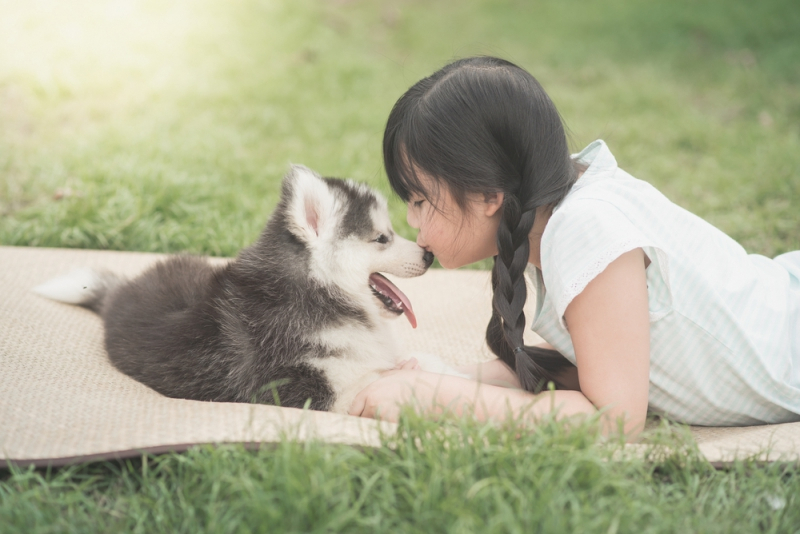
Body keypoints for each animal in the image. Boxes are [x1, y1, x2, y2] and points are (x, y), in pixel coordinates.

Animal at [34, 166, 460, 414]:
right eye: (382, 238)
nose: (428, 254)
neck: (316, 290)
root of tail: (121, 294)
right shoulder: (298, 388)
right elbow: (374, 381)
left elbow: (417, 361)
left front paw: (447, 371)